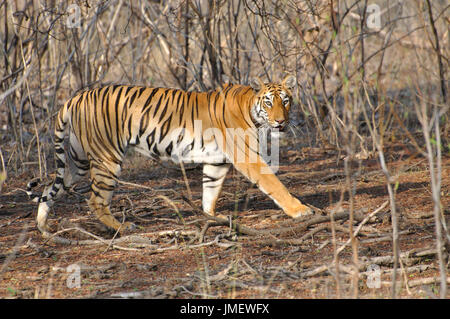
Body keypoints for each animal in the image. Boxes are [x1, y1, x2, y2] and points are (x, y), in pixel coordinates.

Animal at [27, 75, 312, 238]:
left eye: (286, 101)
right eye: (269, 102)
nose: (281, 122)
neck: (251, 110)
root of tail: (75, 97)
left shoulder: (217, 161)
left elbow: (210, 191)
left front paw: (213, 218)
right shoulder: (246, 156)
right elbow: (274, 184)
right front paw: (300, 210)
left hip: (79, 161)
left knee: (52, 188)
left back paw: (43, 227)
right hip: (107, 159)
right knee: (95, 201)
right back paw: (122, 228)